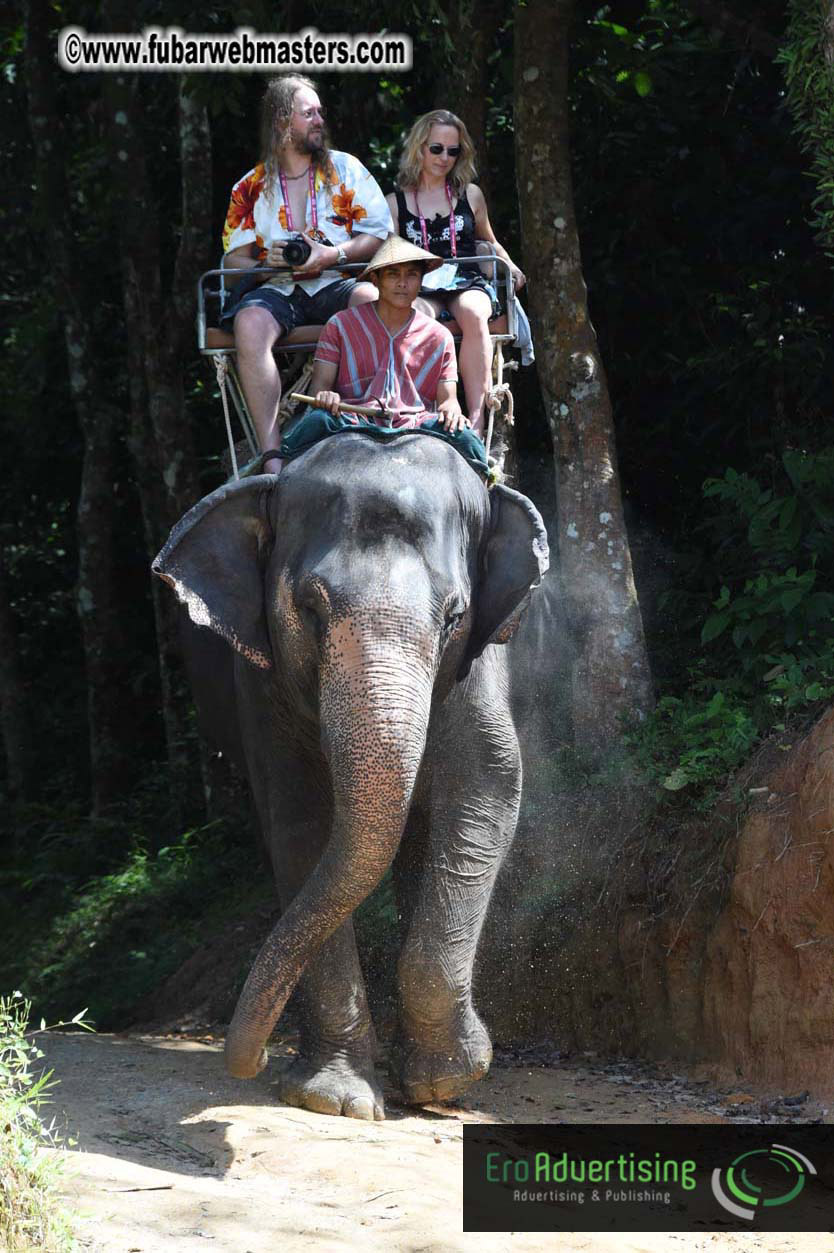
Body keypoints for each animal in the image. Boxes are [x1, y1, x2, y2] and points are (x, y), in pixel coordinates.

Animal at [152, 430, 548, 1120]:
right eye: (309, 608)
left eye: (454, 617)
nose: (249, 1060)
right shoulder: (261, 681)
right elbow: (300, 822)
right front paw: (333, 1099)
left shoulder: (480, 661)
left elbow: (488, 786)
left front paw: (448, 1082)